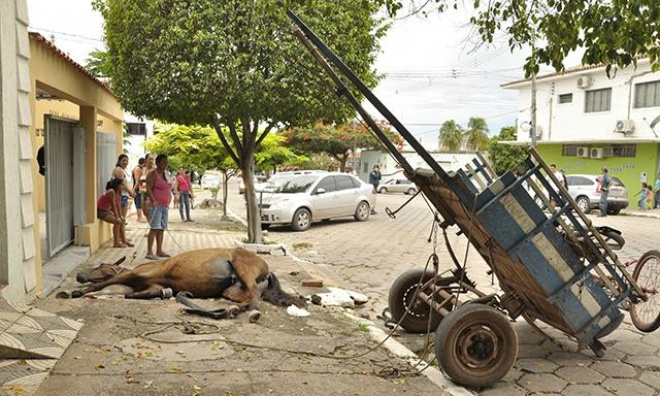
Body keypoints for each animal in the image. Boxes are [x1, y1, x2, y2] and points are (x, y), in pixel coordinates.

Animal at [69, 248, 302, 310]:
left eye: (100, 265)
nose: (78, 275)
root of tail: (267, 271)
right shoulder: (155, 285)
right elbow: (145, 293)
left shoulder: (132, 274)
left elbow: (103, 283)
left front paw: (77, 291)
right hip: (233, 289)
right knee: (249, 295)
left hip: (242, 265)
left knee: (254, 296)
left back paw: (248, 311)